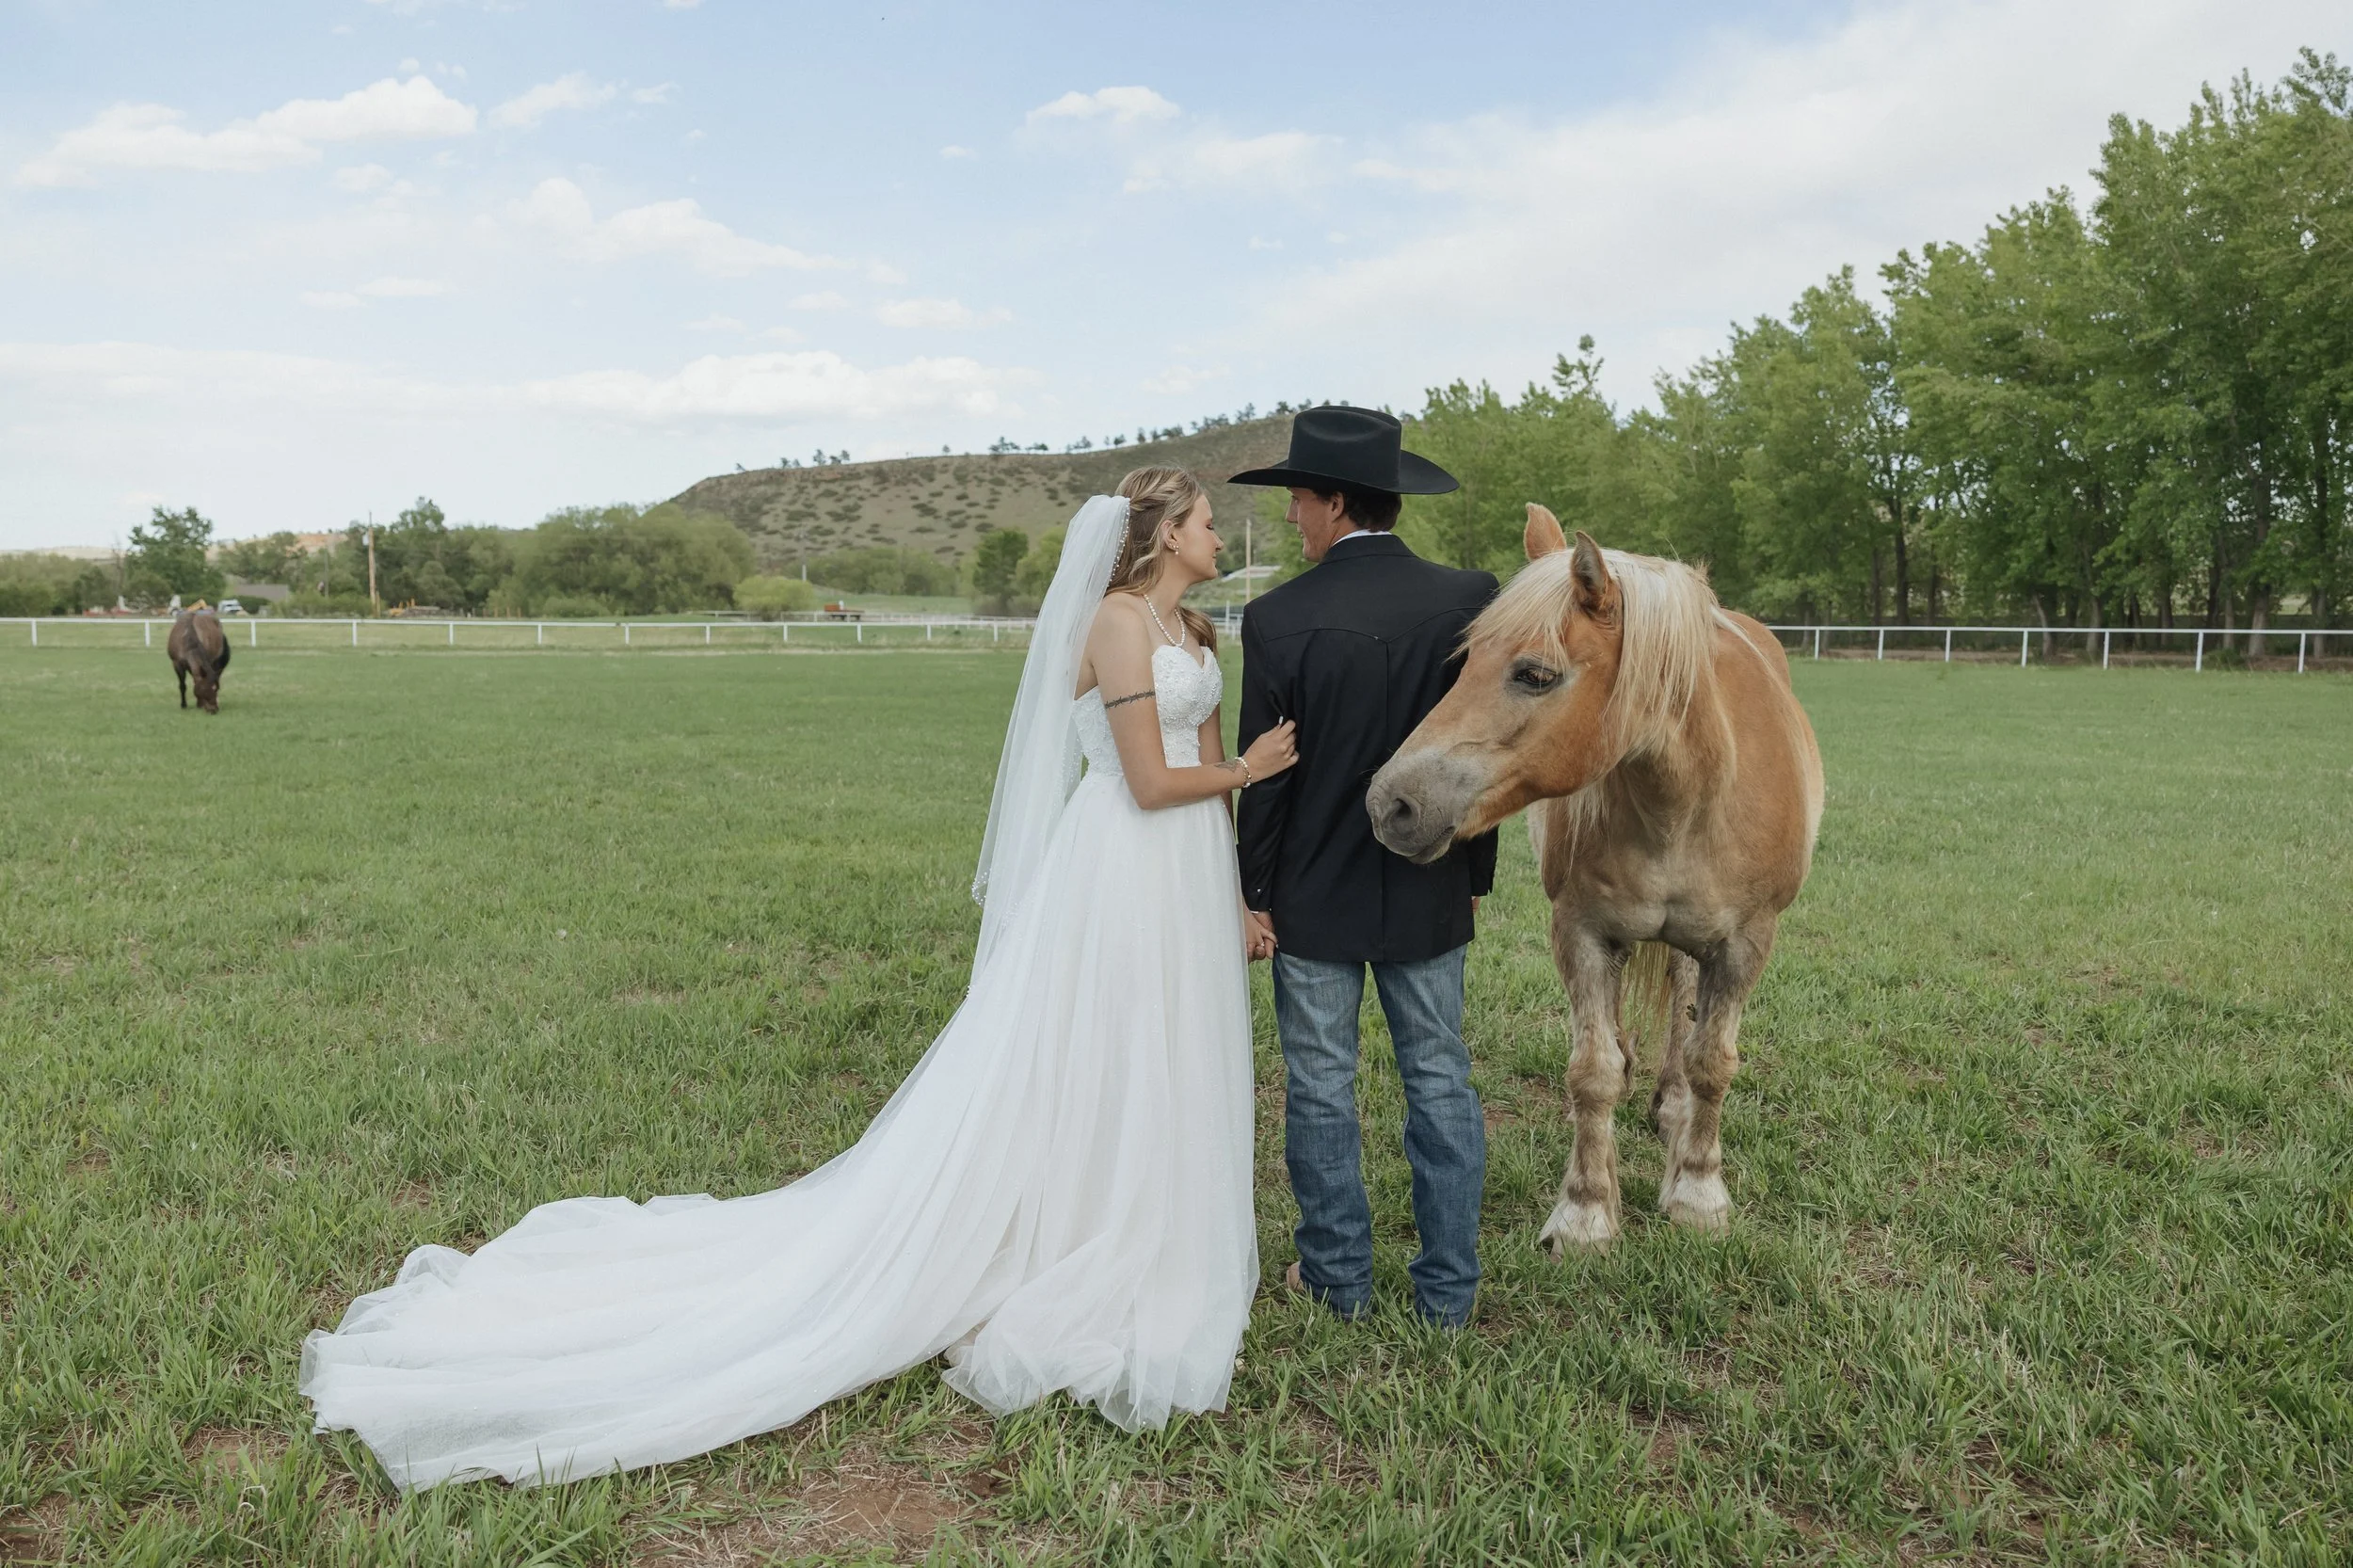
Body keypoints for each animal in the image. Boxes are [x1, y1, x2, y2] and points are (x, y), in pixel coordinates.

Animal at [1367, 505, 1822, 1252]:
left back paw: (1672, 1107)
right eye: (1465, 662)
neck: (1685, 801)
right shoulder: (1580, 931)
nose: (1390, 804)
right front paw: (1585, 1210)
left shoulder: (1747, 943)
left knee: (1684, 1002)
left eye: (1534, 674)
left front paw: (1698, 1192)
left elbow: (1713, 1063)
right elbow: (1592, 1071)